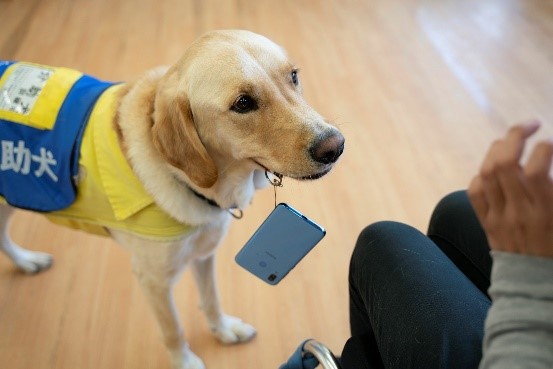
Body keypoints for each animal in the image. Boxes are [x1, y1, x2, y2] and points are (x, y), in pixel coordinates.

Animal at [0, 30, 342, 366]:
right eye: (243, 103)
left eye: (293, 76)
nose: (335, 146)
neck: (201, 184)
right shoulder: (153, 281)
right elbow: (173, 329)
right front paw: (185, 361)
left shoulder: (204, 253)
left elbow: (211, 298)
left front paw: (223, 330)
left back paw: (26, 261)